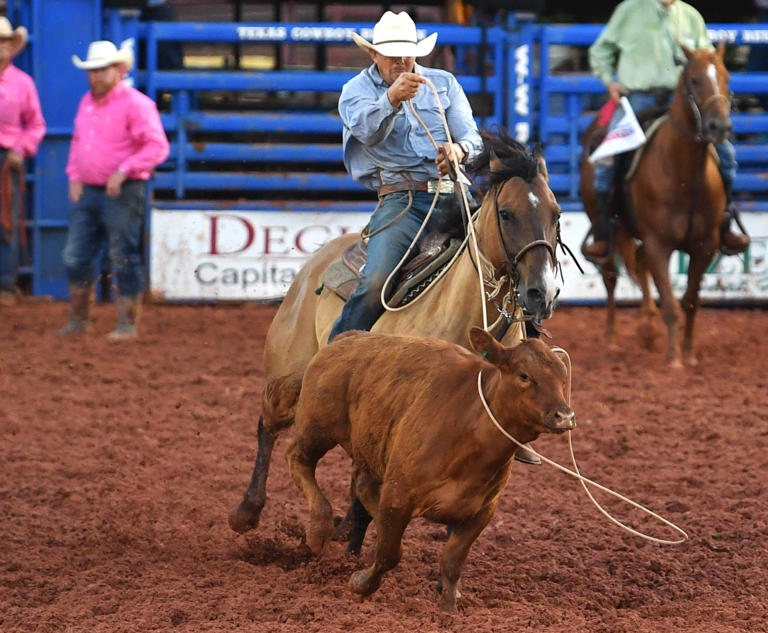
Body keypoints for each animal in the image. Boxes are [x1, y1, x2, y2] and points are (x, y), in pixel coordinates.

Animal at [228, 131, 564, 536]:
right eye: (506, 214)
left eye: (557, 214)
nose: (541, 293)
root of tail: (315, 262)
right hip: (289, 374)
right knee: (267, 424)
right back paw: (247, 510)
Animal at [280, 328, 572, 608]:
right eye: (524, 375)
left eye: (562, 378)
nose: (564, 416)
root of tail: (347, 339)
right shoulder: (398, 496)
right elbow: (389, 553)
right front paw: (361, 583)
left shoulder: (481, 511)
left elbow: (452, 562)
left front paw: (448, 611)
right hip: (316, 428)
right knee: (298, 459)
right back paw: (319, 528)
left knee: (362, 482)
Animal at [584, 44, 732, 368]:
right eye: (694, 80)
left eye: (727, 77)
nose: (720, 127)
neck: (685, 177)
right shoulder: (659, 243)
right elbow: (672, 306)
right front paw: (673, 360)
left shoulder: (705, 245)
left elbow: (690, 302)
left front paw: (688, 354)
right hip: (605, 227)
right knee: (611, 276)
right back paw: (612, 337)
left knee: (639, 263)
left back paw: (647, 328)